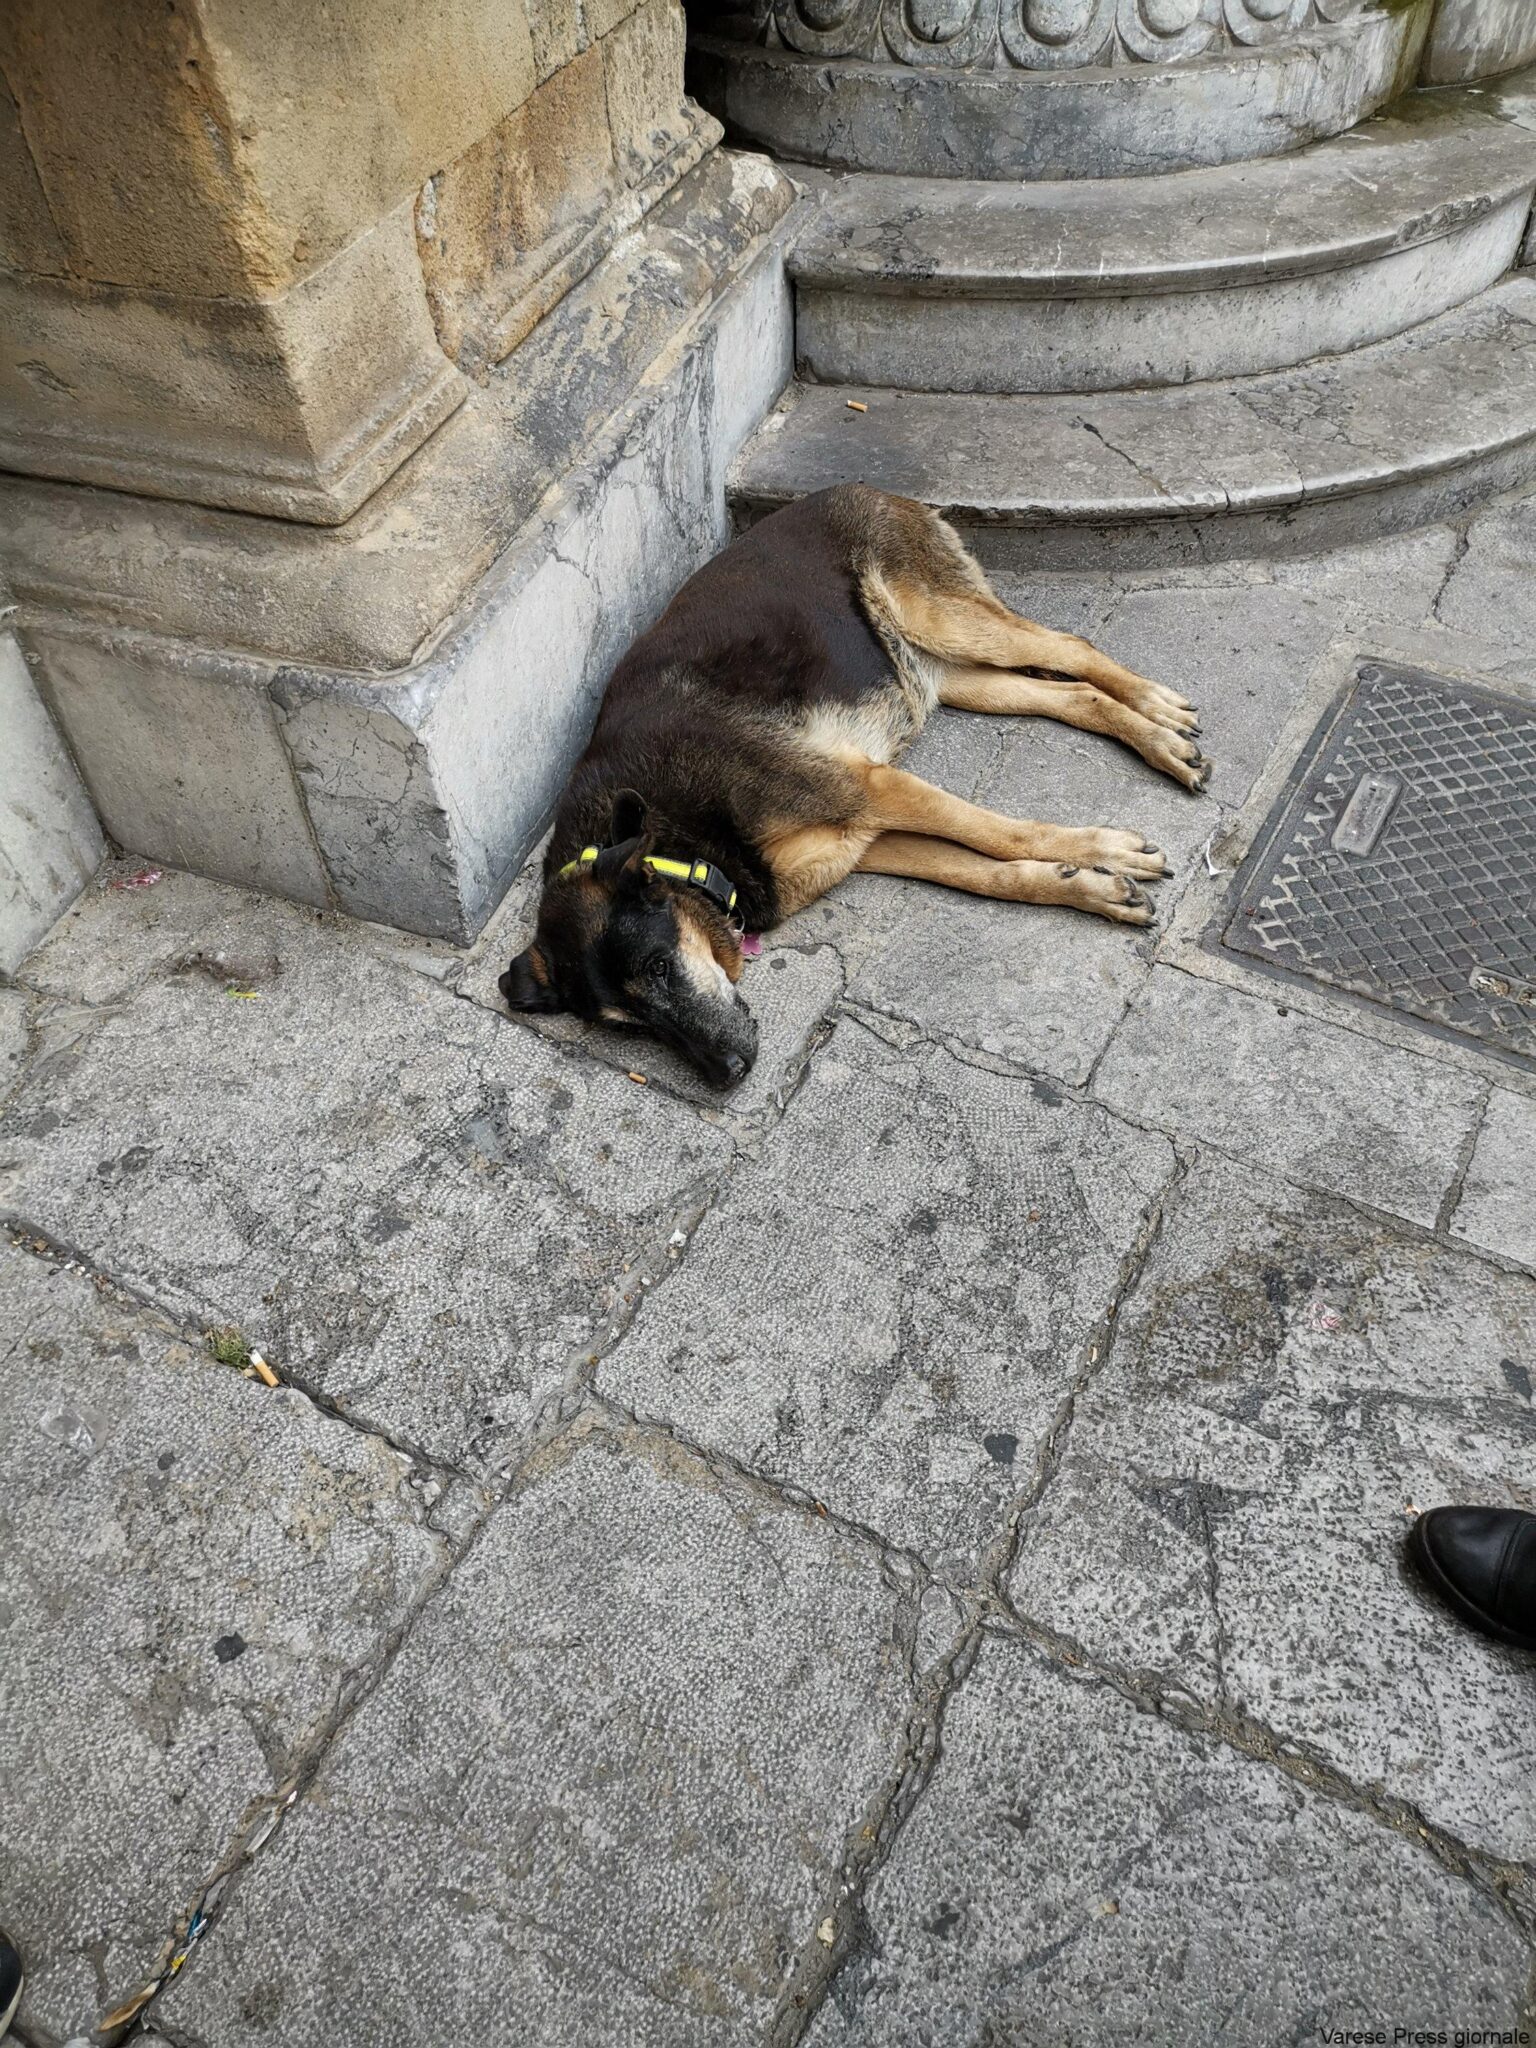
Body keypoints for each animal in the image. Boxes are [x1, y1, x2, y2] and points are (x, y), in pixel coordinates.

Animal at [499, 481, 1212, 1089]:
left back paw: (1160, 718)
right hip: (952, 677)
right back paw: (1151, 731)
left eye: (659, 967)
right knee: (1070, 696)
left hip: (946, 621)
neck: (690, 848)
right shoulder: (868, 840)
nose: (727, 1073)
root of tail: (868, 488)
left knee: (1074, 647)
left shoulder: (873, 787)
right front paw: (1084, 886)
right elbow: (985, 872)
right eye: (628, 1028)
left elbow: (1001, 835)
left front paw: (1103, 852)